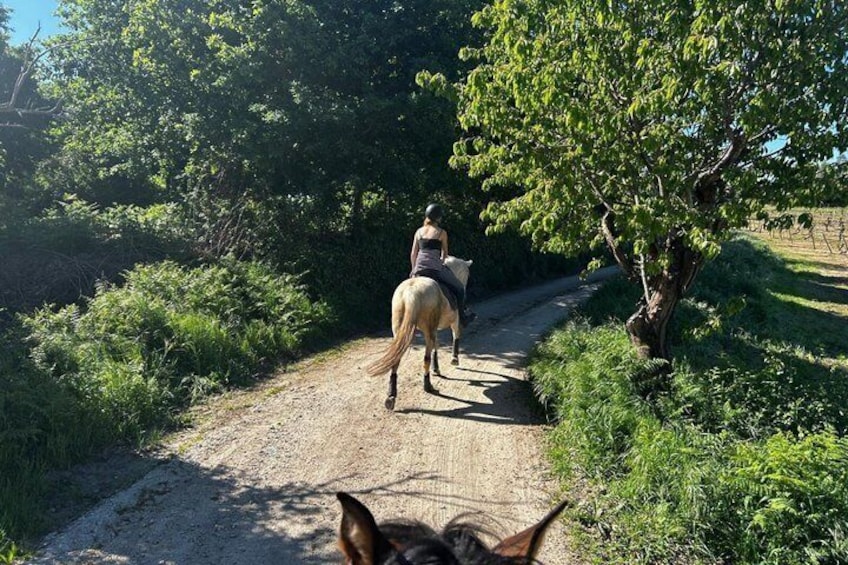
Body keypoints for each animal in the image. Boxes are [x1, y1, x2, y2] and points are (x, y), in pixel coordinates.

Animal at [366, 256, 473, 410]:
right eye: (467, 274)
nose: (465, 288)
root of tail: (411, 292)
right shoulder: (454, 321)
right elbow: (455, 336)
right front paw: (454, 359)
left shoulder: (435, 328)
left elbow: (436, 346)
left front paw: (437, 368)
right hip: (428, 329)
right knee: (425, 358)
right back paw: (428, 386)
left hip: (399, 329)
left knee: (397, 358)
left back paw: (391, 396)